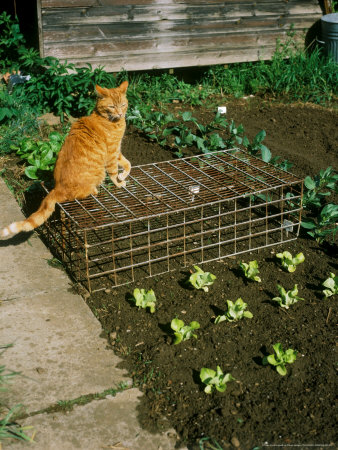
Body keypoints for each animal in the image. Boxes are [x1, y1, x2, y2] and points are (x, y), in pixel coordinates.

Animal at [0, 80, 131, 239]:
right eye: (112, 106)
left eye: (123, 104)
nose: (120, 113)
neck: (109, 120)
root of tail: (57, 188)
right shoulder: (111, 152)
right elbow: (113, 172)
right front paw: (119, 181)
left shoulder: (117, 151)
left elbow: (127, 163)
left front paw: (123, 174)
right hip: (99, 173)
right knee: (83, 194)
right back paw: (94, 190)